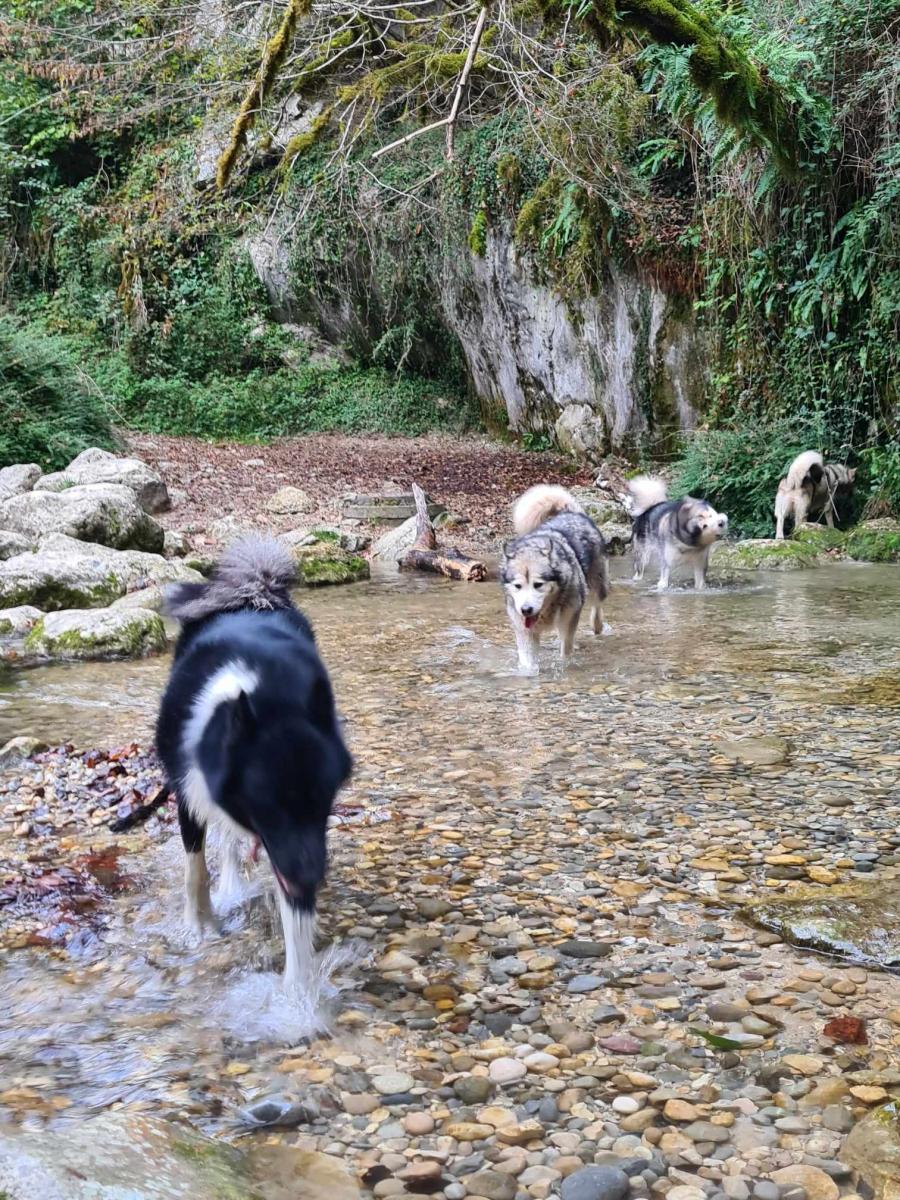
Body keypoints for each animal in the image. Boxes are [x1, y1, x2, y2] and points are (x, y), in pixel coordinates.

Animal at [157, 540, 350, 988]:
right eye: (271, 806)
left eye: (324, 802)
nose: (310, 882)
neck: (267, 698)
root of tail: (255, 591)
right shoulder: (189, 792)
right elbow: (195, 872)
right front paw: (200, 928)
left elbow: (295, 927)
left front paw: (297, 995)